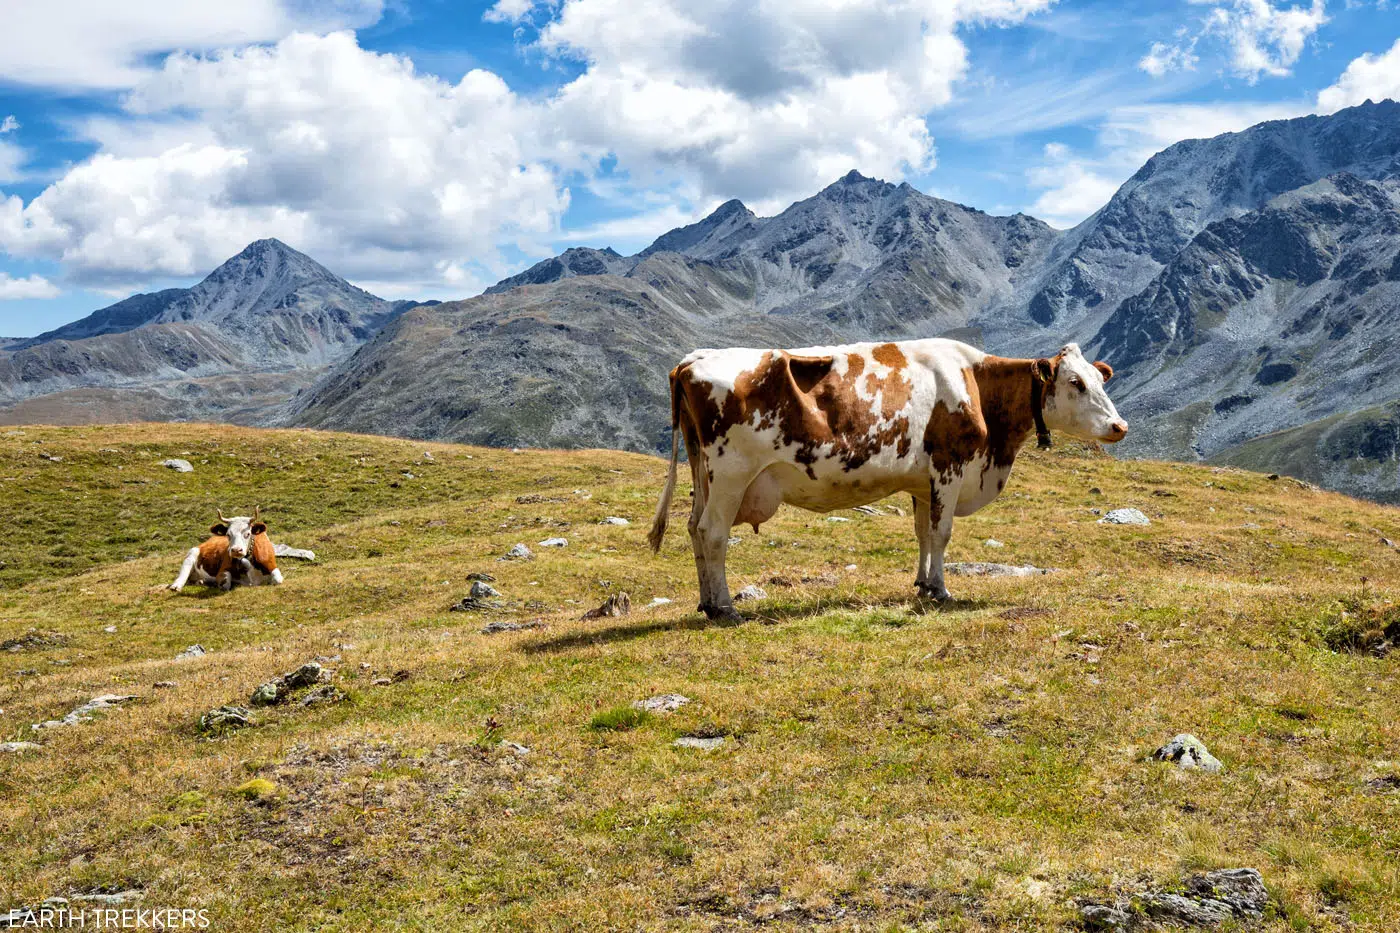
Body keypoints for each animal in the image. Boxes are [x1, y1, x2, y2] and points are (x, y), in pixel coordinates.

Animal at [646, 336, 1125, 616]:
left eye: (1100, 380)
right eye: (1076, 383)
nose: (1119, 426)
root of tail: (692, 359)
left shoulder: (923, 482)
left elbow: (923, 533)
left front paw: (923, 583)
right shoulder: (950, 466)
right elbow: (942, 533)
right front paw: (941, 590)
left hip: (703, 472)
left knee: (693, 528)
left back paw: (706, 602)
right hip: (731, 473)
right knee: (712, 532)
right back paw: (725, 607)